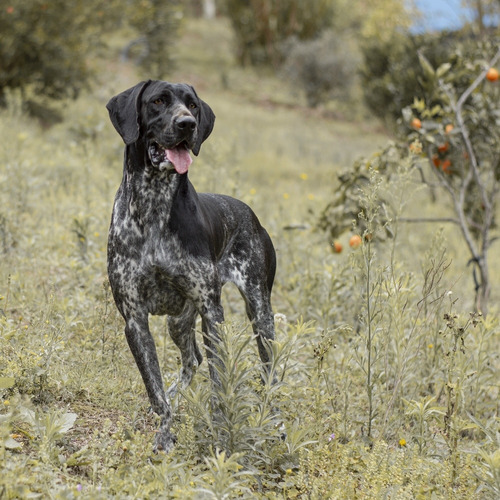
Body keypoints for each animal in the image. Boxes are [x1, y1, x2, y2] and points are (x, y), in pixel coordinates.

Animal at [106, 81, 278, 454]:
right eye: (158, 101)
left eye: (193, 105)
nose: (187, 124)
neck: (154, 208)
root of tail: (251, 214)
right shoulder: (134, 319)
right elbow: (155, 392)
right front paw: (164, 435)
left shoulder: (212, 314)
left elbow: (218, 384)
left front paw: (219, 435)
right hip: (178, 322)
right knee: (191, 361)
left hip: (260, 312)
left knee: (269, 369)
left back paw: (273, 420)